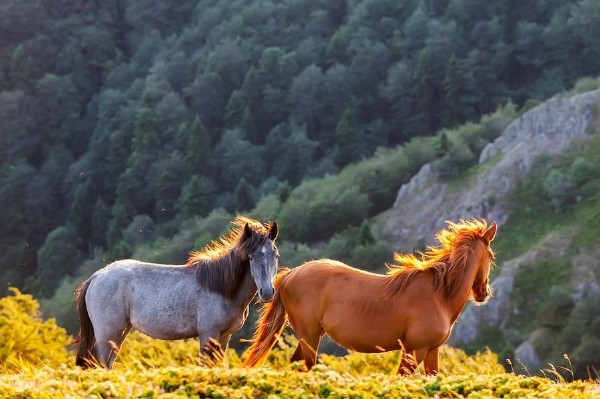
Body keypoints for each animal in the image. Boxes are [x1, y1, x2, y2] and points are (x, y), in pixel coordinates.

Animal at [244, 219, 496, 376]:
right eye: (491, 256)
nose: (484, 293)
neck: (439, 294)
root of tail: (289, 275)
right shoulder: (415, 350)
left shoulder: (431, 351)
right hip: (310, 337)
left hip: (309, 338)